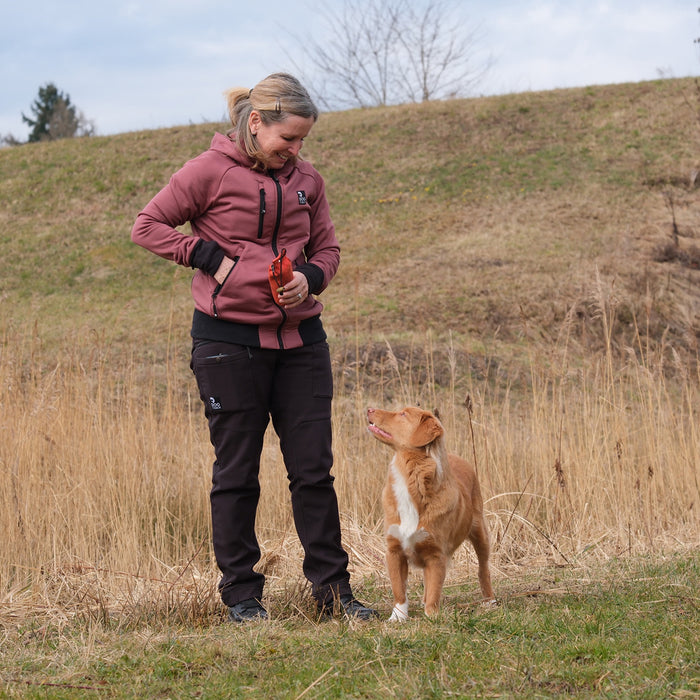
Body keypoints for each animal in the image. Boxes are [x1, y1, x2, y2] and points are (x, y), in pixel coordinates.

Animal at [366, 404, 492, 616]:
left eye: (403, 414)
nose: (369, 409)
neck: (411, 478)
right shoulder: (394, 550)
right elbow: (399, 589)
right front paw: (398, 616)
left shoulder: (436, 554)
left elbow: (434, 590)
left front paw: (432, 616)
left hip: (480, 532)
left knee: (483, 569)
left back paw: (490, 600)